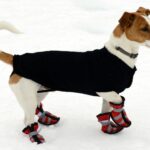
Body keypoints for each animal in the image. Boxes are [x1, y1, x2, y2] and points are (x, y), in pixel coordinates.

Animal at [0, 7, 150, 144]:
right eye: (144, 29)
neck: (120, 54)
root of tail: (17, 59)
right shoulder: (106, 91)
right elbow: (119, 101)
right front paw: (121, 118)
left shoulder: (108, 95)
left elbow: (105, 112)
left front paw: (108, 128)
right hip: (28, 96)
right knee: (27, 119)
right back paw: (35, 136)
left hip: (40, 91)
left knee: (31, 112)